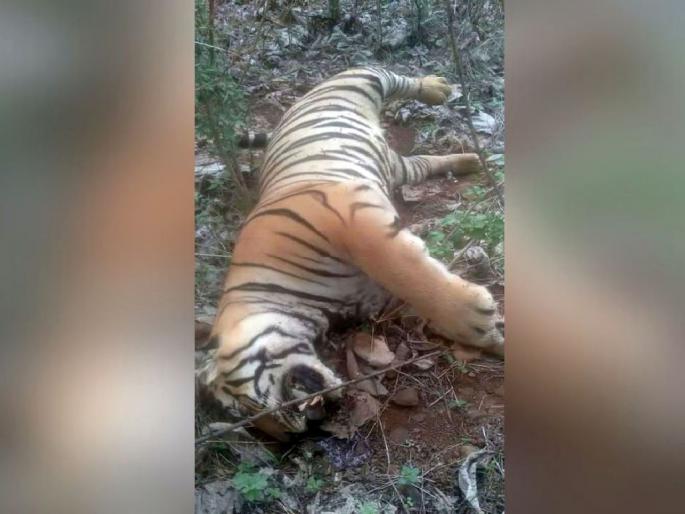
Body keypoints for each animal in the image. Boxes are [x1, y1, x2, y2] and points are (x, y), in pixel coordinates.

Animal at [202, 67, 504, 440]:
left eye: (245, 407)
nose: (295, 435)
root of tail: (290, 109)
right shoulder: (378, 299)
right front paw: (495, 337)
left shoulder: (348, 218)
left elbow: (408, 273)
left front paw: (475, 319)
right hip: (399, 167)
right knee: (421, 162)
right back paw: (469, 160)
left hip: (361, 79)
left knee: (392, 77)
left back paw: (436, 88)